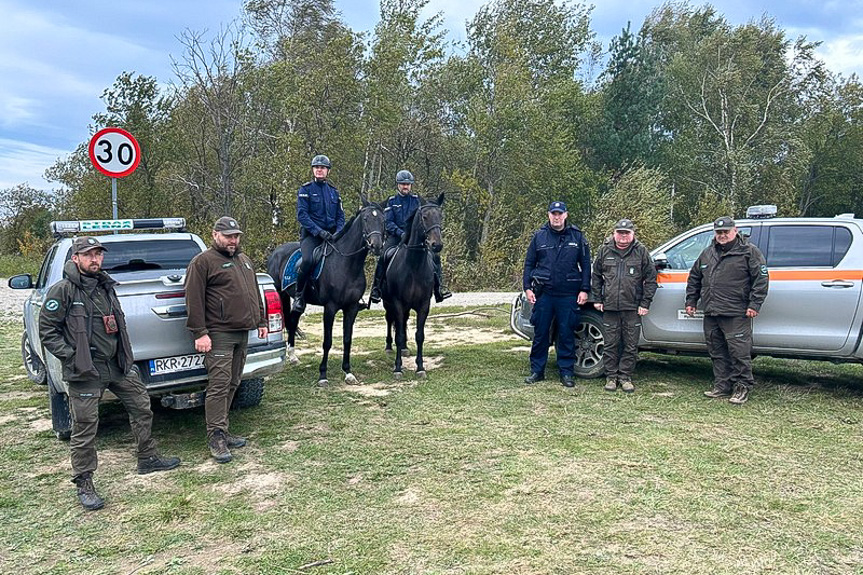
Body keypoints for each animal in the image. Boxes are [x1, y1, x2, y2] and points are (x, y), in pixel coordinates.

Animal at [264, 199, 384, 388]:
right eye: (365, 219)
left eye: (382, 219)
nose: (377, 245)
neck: (346, 263)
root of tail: (276, 251)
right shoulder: (330, 308)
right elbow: (327, 342)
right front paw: (323, 375)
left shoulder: (351, 308)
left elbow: (347, 339)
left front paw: (348, 372)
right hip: (282, 295)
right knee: (289, 320)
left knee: (293, 319)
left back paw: (293, 356)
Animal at [382, 195, 446, 378]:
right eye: (424, 217)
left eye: (440, 216)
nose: (436, 245)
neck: (413, 266)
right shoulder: (397, 303)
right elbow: (398, 335)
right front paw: (397, 368)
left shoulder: (424, 305)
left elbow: (419, 335)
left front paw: (420, 367)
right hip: (388, 303)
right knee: (390, 321)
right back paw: (389, 347)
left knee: (403, 323)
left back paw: (404, 349)